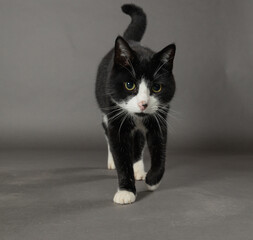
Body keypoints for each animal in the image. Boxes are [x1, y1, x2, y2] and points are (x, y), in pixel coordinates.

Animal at [95, 3, 176, 204]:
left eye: (156, 87)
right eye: (129, 85)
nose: (143, 104)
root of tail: (131, 40)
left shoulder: (159, 119)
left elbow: (160, 151)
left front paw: (153, 179)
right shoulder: (116, 119)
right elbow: (120, 154)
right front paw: (126, 191)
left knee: (138, 141)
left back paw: (139, 169)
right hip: (106, 111)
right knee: (107, 132)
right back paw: (112, 161)